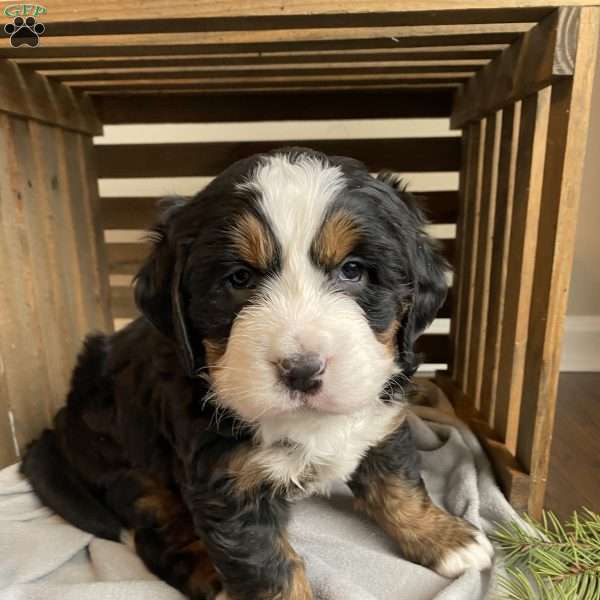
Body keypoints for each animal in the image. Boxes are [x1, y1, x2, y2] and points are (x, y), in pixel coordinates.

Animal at [22, 149, 492, 600]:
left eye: (353, 270)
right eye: (240, 278)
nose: (302, 370)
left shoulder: (380, 415)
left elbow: (398, 481)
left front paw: (445, 539)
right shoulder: (227, 483)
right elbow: (269, 569)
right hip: (132, 471)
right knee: (160, 537)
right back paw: (211, 580)